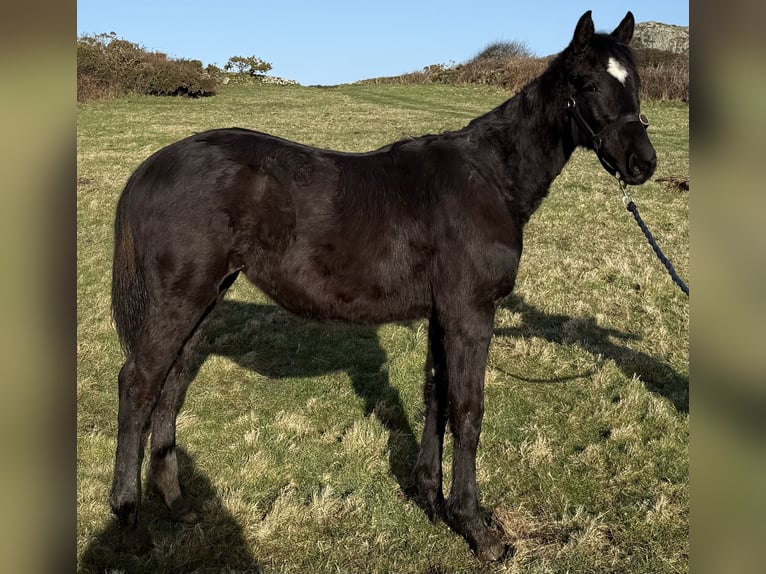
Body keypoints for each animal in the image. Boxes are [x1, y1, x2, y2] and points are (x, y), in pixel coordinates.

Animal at [109, 11, 656, 564]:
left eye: (635, 82)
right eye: (587, 83)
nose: (643, 162)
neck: (488, 180)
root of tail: (150, 168)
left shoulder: (443, 314)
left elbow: (436, 397)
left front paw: (431, 500)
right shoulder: (471, 313)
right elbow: (467, 411)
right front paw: (476, 528)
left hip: (204, 302)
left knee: (171, 385)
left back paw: (177, 504)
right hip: (179, 301)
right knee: (138, 385)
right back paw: (130, 522)